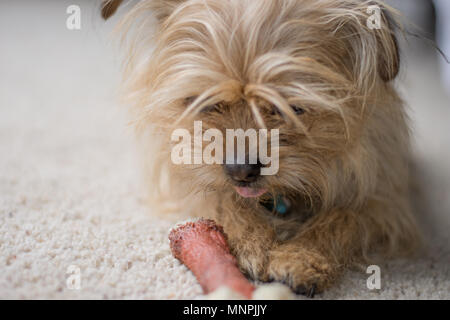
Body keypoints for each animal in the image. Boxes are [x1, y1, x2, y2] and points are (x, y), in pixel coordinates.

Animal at [103, 0, 420, 296]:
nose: (241, 171)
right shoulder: (185, 176)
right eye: (204, 102)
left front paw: (302, 256)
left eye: (293, 107)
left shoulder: (384, 203)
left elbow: (343, 218)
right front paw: (253, 242)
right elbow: (220, 198)